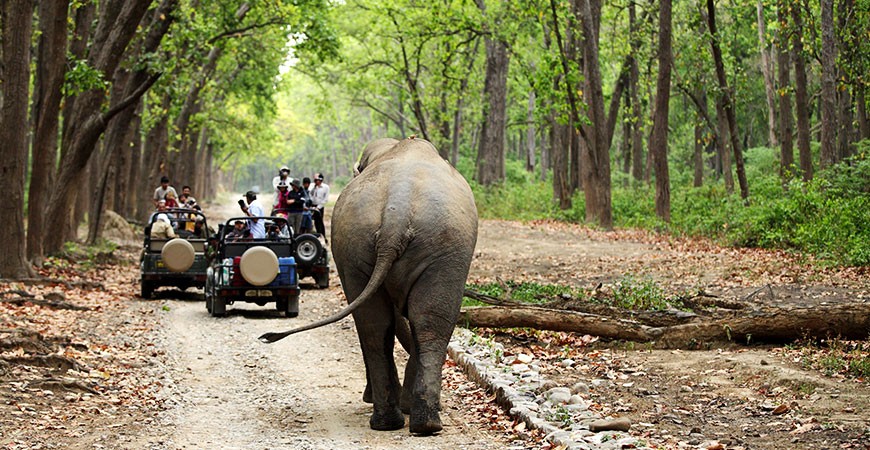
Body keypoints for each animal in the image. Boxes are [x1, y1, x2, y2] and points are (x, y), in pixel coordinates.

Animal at [260, 137, 476, 436]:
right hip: (405, 245)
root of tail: (396, 216)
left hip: (415, 243)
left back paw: (408, 421)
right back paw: (413, 422)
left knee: (389, 323)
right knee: (412, 323)